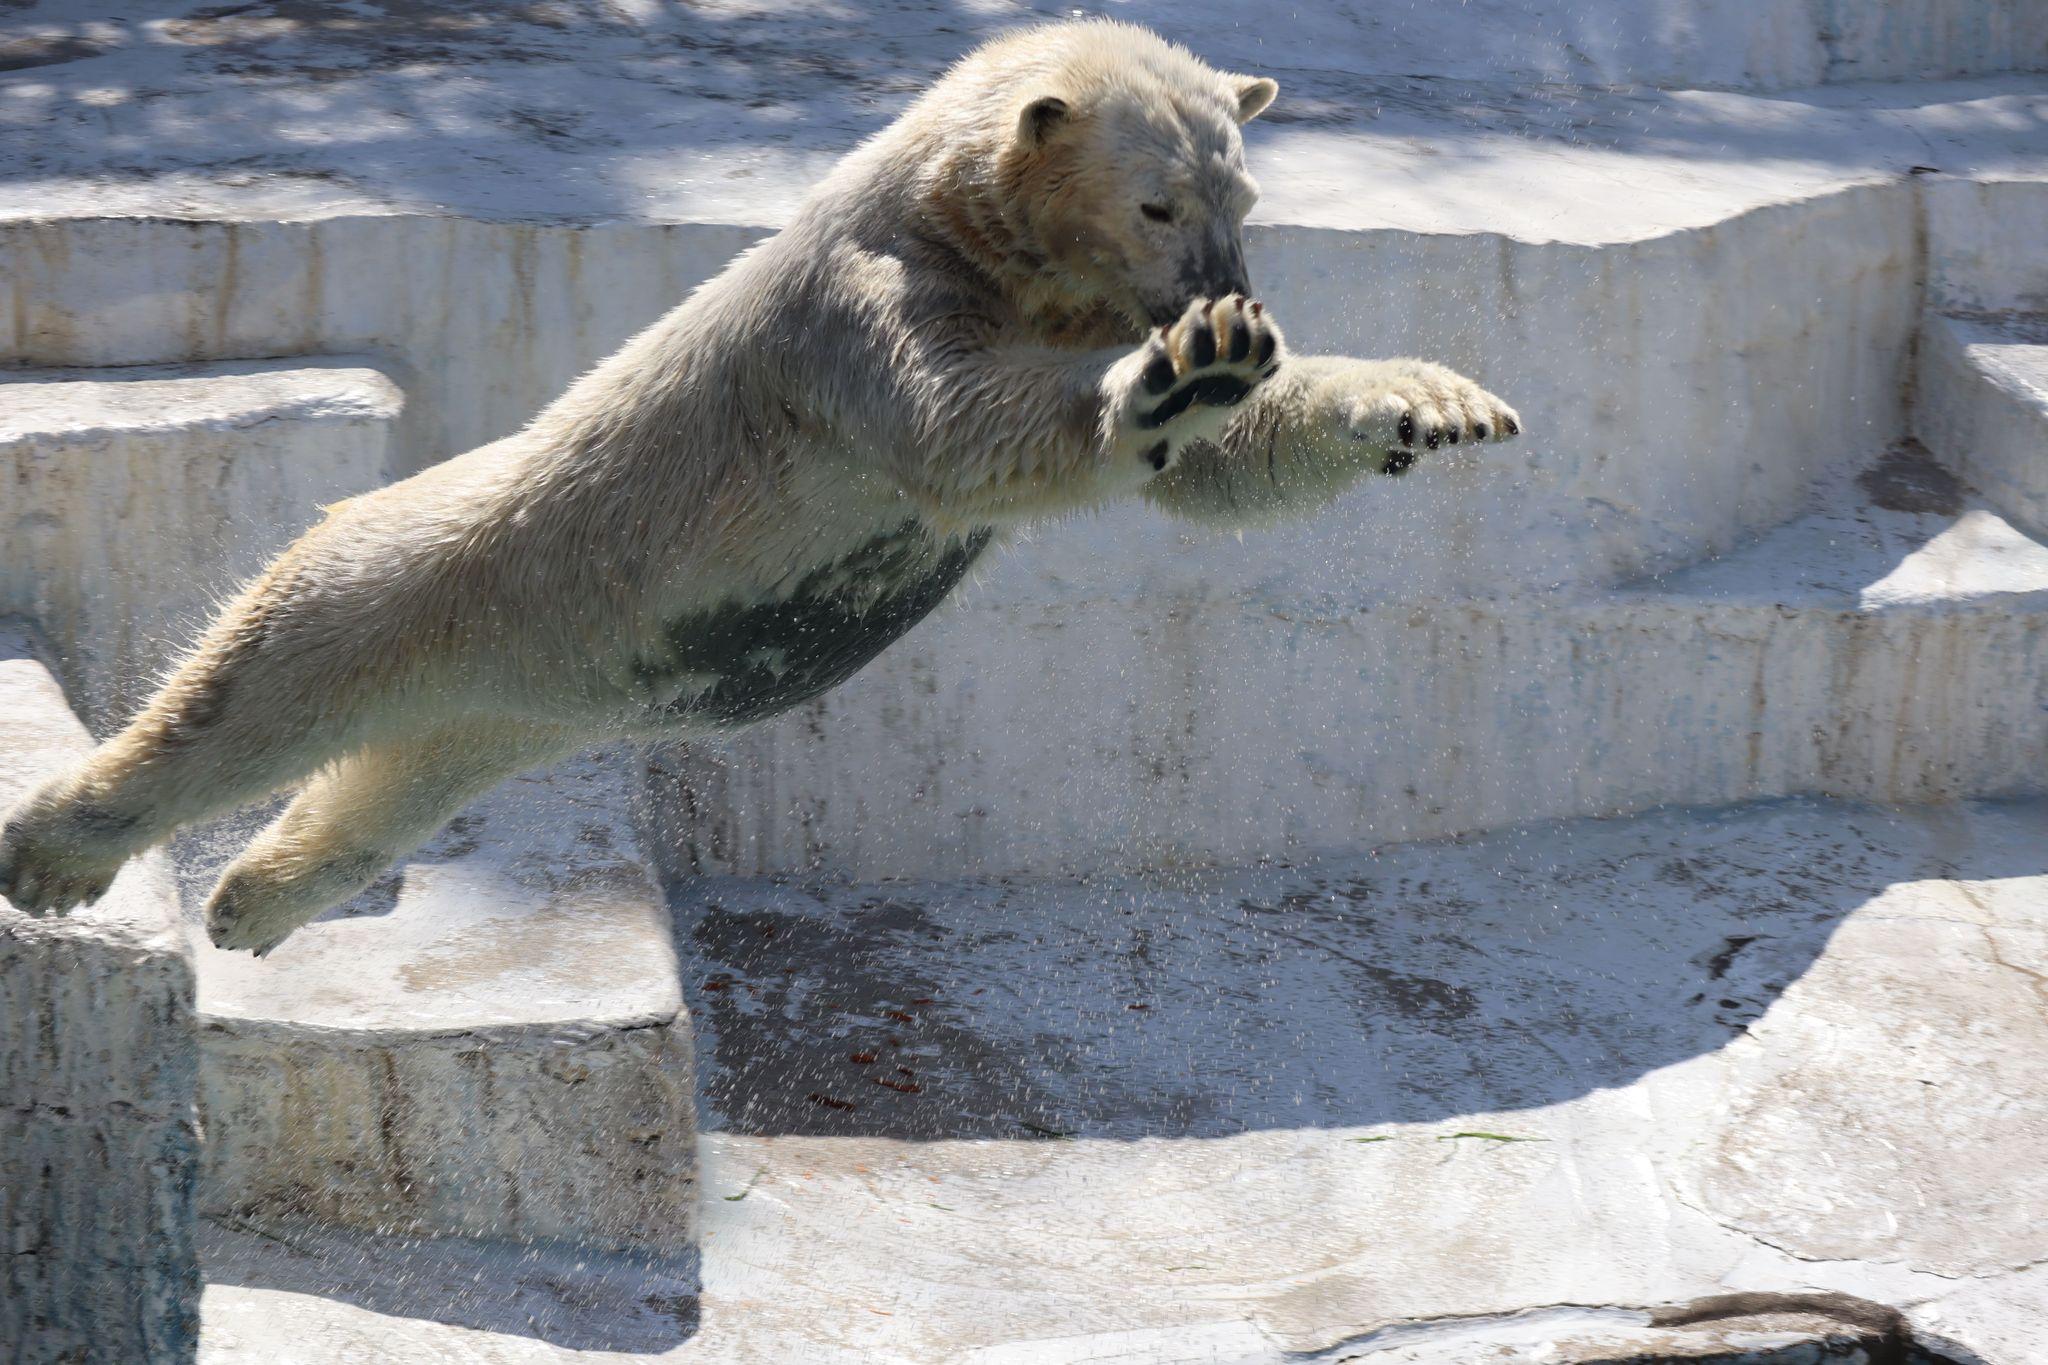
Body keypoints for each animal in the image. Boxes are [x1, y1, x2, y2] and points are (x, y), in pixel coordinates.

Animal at [0, 18, 1507, 949]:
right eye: (1158, 202)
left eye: (1240, 197)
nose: (1226, 291)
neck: (962, 227)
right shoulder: (855, 313)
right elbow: (961, 428)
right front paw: (1179, 376)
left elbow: (1215, 473)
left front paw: (1423, 400)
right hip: (438, 563)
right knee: (261, 689)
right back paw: (62, 852)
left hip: (511, 700)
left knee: (390, 784)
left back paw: (253, 900)